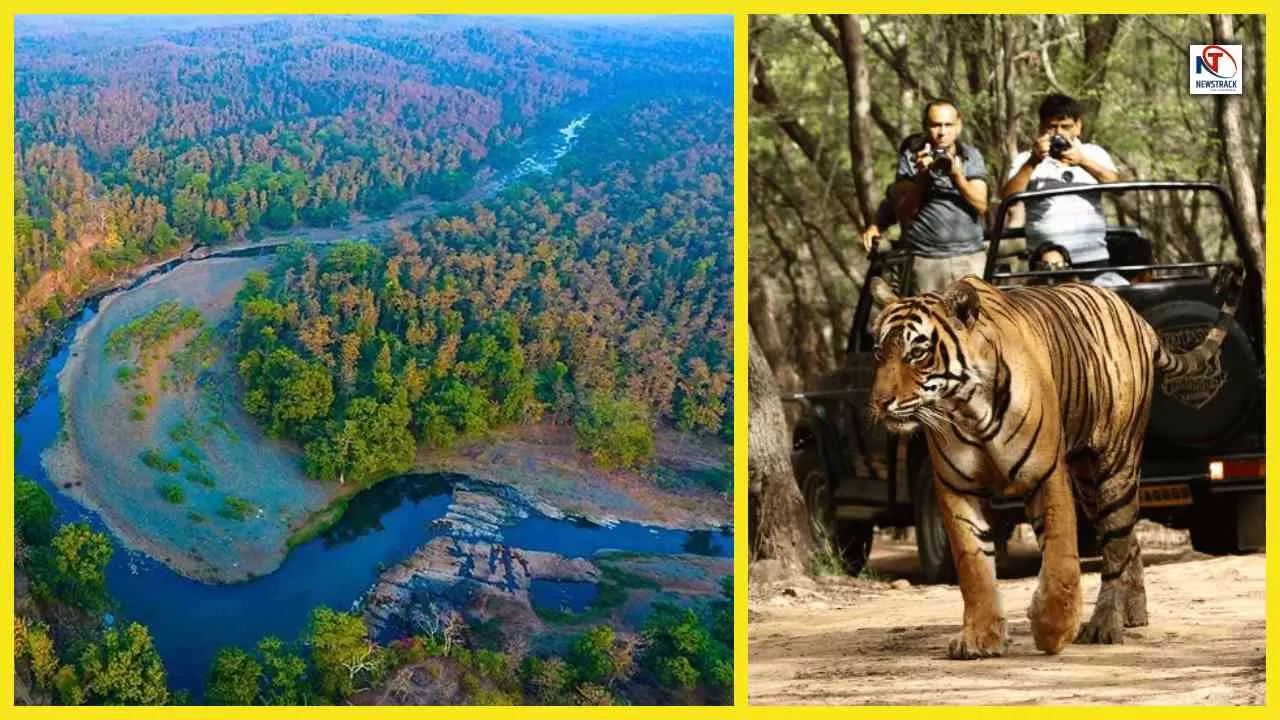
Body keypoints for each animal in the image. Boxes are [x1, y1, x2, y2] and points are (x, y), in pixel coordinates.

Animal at [867, 266, 1243, 658]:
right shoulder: (956, 488)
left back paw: (1105, 625)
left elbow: (1061, 556)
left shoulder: (1045, 475)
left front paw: (1054, 629)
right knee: (1127, 540)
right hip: (1089, 484)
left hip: (1116, 465)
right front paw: (980, 637)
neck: (967, 409)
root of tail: (1136, 315)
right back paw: (1134, 612)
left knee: (1115, 547)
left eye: (917, 352)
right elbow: (973, 566)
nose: (880, 402)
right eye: (879, 351)